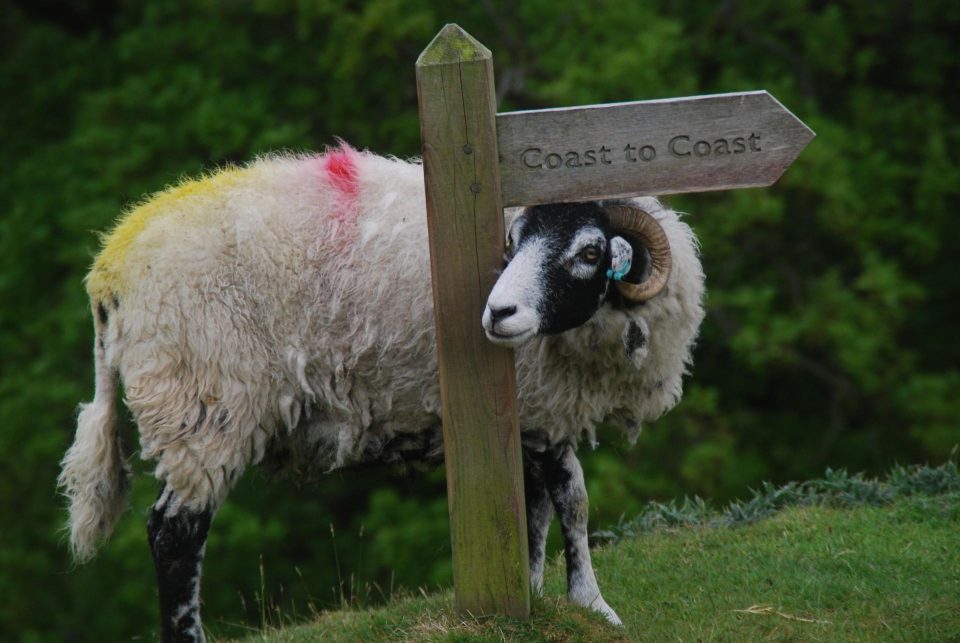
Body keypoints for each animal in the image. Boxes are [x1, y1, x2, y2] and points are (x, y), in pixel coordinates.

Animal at [59, 145, 705, 640]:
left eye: (590, 251)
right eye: (515, 240)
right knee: (174, 535)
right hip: (200, 401)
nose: (498, 313)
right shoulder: (543, 406)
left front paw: (534, 593)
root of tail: (109, 268)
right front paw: (593, 604)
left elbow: (537, 508)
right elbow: (573, 500)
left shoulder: (529, 415)